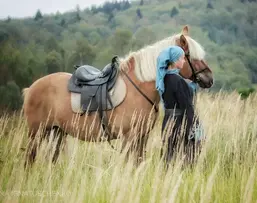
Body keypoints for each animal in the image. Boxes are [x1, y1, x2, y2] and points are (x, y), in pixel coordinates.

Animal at [23, 25, 213, 167]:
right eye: (192, 57)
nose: (209, 78)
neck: (139, 86)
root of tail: (31, 88)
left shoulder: (141, 137)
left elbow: (138, 162)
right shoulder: (129, 138)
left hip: (57, 133)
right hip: (36, 133)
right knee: (29, 159)